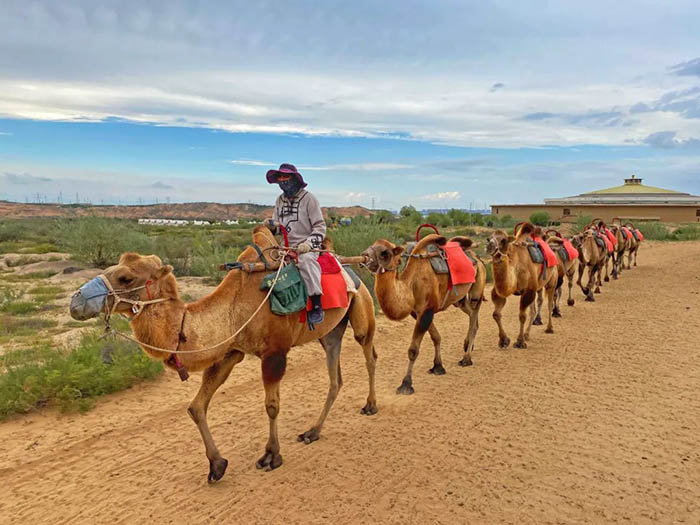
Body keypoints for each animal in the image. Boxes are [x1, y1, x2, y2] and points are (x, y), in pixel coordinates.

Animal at [68, 225, 380, 484]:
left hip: (362, 306)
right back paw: (312, 432)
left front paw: (271, 456)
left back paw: (370, 405)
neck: (234, 307)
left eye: (125, 277)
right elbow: (196, 407)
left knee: (369, 354)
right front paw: (217, 465)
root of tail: (352, 269)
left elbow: (271, 405)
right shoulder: (230, 352)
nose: (76, 301)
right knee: (335, 376)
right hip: (330, 332)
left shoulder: (275, 353)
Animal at [360, 233, 486, 392]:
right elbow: (436, 337)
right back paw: (467, 344)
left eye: (384, 253)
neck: (411, 283)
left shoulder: (427, 310)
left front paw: (406, 383)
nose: (364, 256)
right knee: (471, 314)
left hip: (477, 287)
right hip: (459, 300)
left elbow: (413, 350)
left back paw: (466, 358)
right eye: (371, 245)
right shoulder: (417, 312)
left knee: (475, 315)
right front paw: (438, 366)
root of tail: (477, 258)